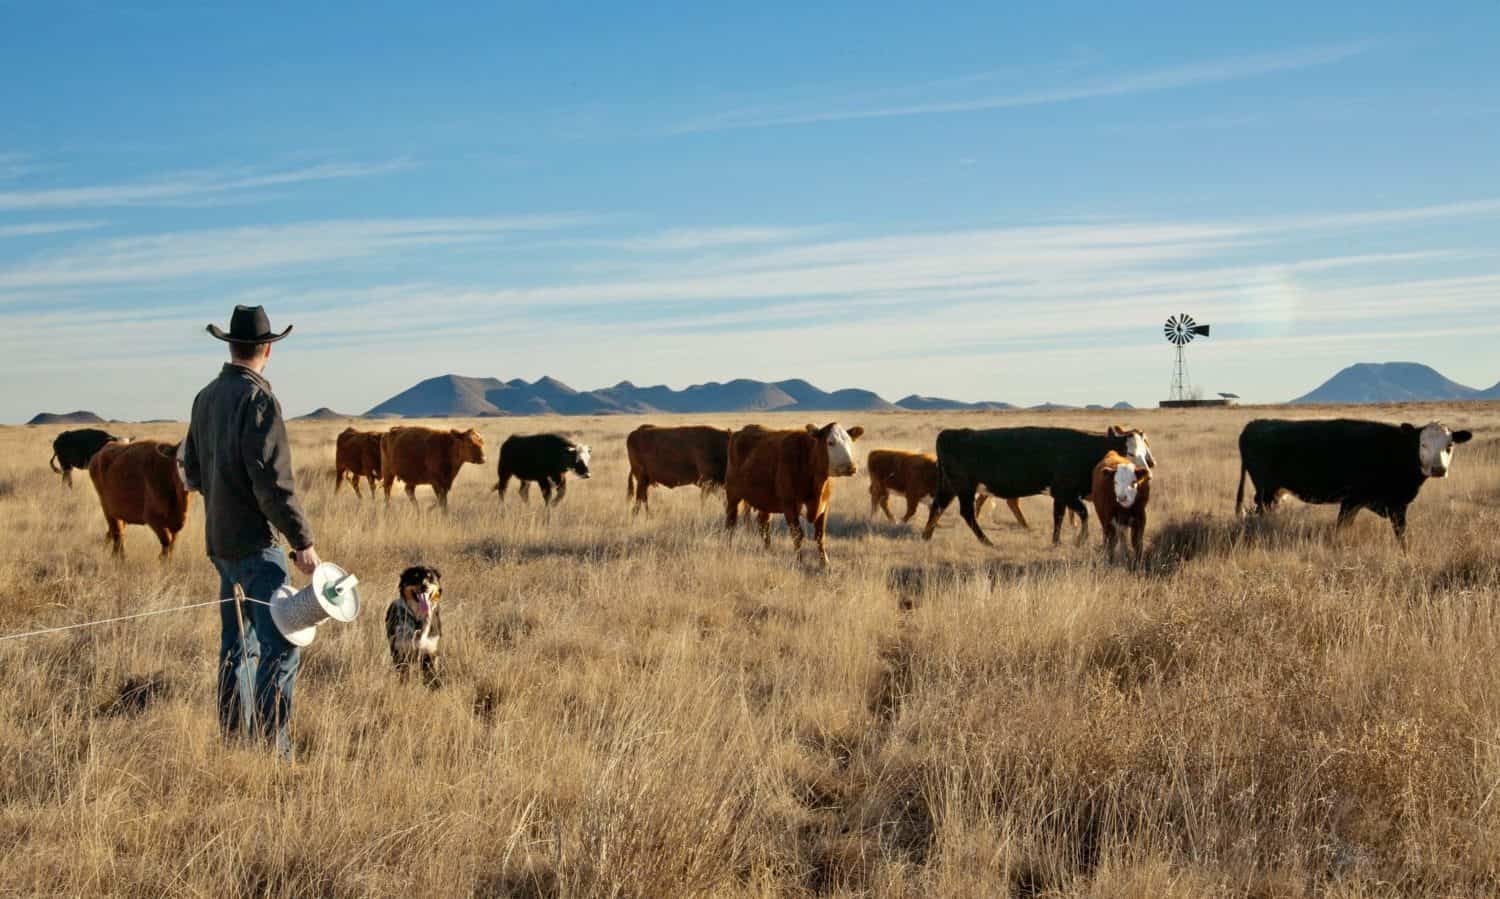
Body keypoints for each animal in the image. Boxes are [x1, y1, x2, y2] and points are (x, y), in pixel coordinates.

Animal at [726, 423, 870, 567]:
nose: (851, 467)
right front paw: (800, 561)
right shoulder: (789, 506)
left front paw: (825, 563)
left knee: (763, 525)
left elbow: (820, 536)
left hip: (765, 502)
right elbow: (797, 535)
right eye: (830, 442)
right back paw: (728, 546)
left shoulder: (825, 507)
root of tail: (738, 432)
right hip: (733, 495)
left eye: (850, 442)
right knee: (731, 522)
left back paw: (769, 551)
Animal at [864, 450, 1038, 528]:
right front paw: (901, 522)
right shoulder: (912, 495)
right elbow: (911, 511)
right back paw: (878, 518)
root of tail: (874, 453)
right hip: (880, 488)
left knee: (882, 503)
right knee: (878, 502)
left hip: (883, 490)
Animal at [918, 426, 1152, 549]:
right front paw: (1080, 539)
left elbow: (1058, 516)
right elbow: (1083, 513)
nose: (1148, 472)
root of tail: (949, 433)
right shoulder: (1065, 491)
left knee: (938, 506)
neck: (1086, 450)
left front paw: (1057, 541)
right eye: (1130, 453)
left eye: (1145, 452)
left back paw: (926, 536)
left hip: (949, 486)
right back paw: (987, 542)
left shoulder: (1060, 495)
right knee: (965, 512)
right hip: (964, 487)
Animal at [1236, 417, 1470, 549]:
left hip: (1273, 493)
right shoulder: (1352, 500)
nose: (1438, 469)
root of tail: (1254, 424)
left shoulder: (1397, 505)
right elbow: (1341, 528)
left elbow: (1401, 535)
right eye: (1423, 444)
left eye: (1449, 445)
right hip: (1265, 491)